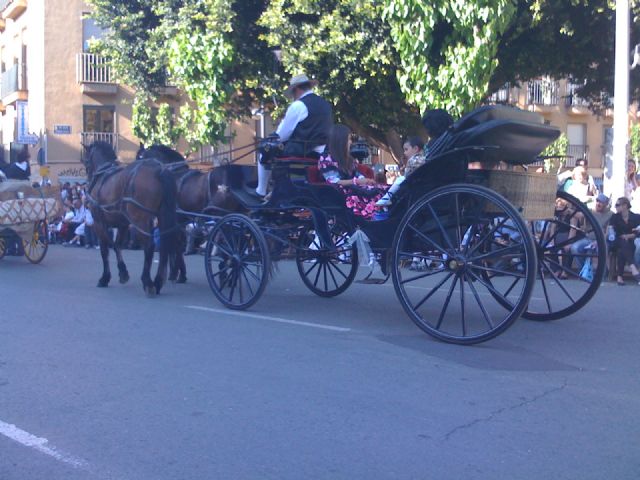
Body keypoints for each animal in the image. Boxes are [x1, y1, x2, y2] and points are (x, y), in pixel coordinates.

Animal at [84, 141, 180, 294]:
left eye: (86, 160)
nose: (88, 179)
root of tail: (159, 170)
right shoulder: (122, 224)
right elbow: (117, 245)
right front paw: (122, 273)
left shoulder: (99, 222)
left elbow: (106, 249)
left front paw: (105, 277)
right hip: (163, 216)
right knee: (166, 244)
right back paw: (159, 280)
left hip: (140, 221)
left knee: (150, 246)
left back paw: (148, 282)